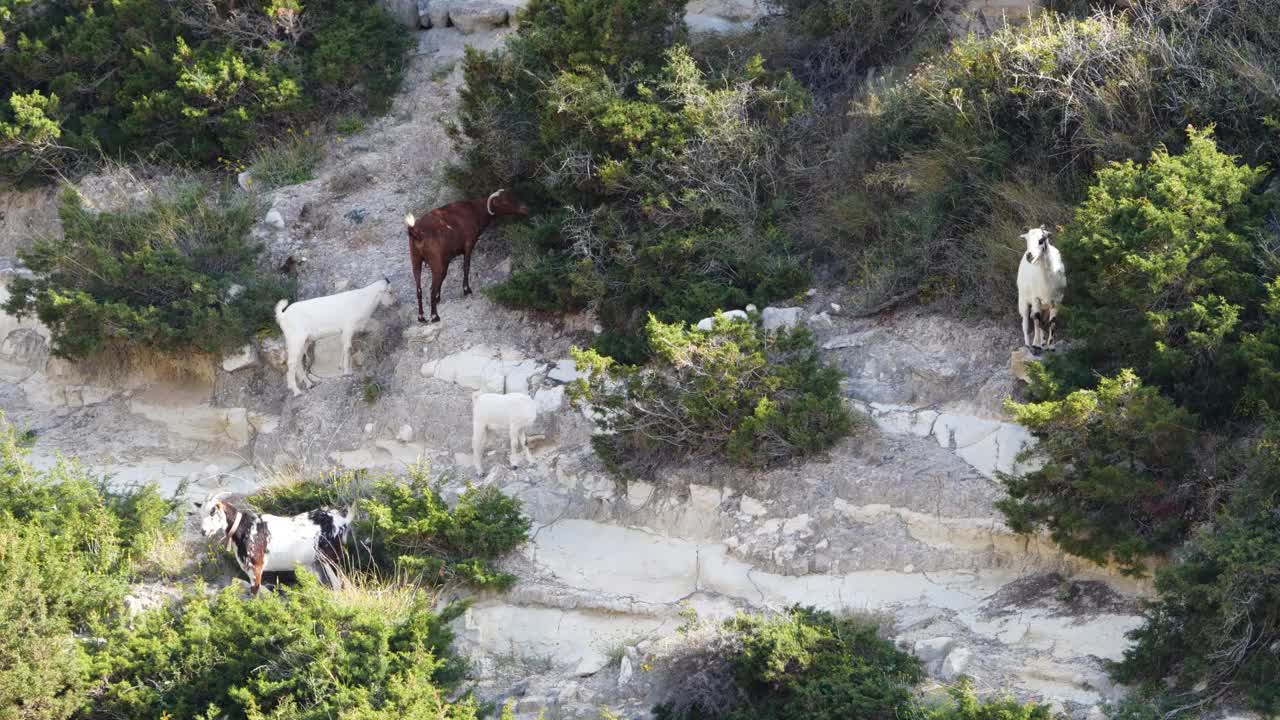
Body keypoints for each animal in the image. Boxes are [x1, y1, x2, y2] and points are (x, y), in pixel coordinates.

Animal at [197, 491, 355, 594]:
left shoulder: (256, 566)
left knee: (339, 584)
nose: (203, 531)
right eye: (201, 513)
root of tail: (342, 520)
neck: (244, 527)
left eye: (212, 511)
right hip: (316, 563)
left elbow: (255, 592)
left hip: (331, 558)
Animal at [409, 185, 529, 320]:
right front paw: (467, 290)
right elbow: (466, 266)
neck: (475, 210)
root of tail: (417, 233)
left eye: (513, 195)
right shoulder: (469, 244)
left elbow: (444, 275)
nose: (525, 208)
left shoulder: (446, 258)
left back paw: (421, 317)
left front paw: (438, 298)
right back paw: (435, 316)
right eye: (504, 201)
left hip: (416, 260)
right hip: (434, 262)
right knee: (431, 289)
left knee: (419, 289)